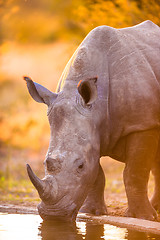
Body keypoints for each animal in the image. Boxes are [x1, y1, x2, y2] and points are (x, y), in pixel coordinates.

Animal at [24, 20, 160, 221]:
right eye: (45, 163)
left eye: (80, 165)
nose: (53, 215)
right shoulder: (92, 133)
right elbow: (97, 174)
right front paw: (91, 212)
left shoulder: (142, 124)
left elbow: (134, 172)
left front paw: (143, 217)